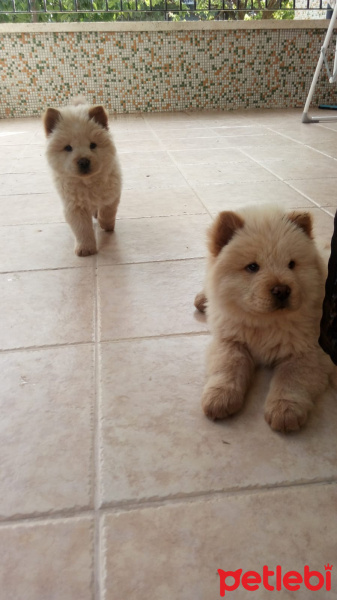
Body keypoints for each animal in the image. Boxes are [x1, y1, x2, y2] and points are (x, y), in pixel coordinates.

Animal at [42, 96, 120, 255]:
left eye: (93, 145)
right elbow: (82, 229)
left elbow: (107, 212)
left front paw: (106, 226)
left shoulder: (112, 194)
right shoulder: (74, 206)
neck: (87, 183)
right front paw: (86, 249)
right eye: (68, 148)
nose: (83, 161)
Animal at [194, 205, 334, 432]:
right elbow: (228, 365)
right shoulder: (230, 339)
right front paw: (219, 398)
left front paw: (284, 411)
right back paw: (202, 299)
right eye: (252, 267)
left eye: (291, 264)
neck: (266, 323)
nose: (282, 290)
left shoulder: (309, 351)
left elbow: (291, 378)